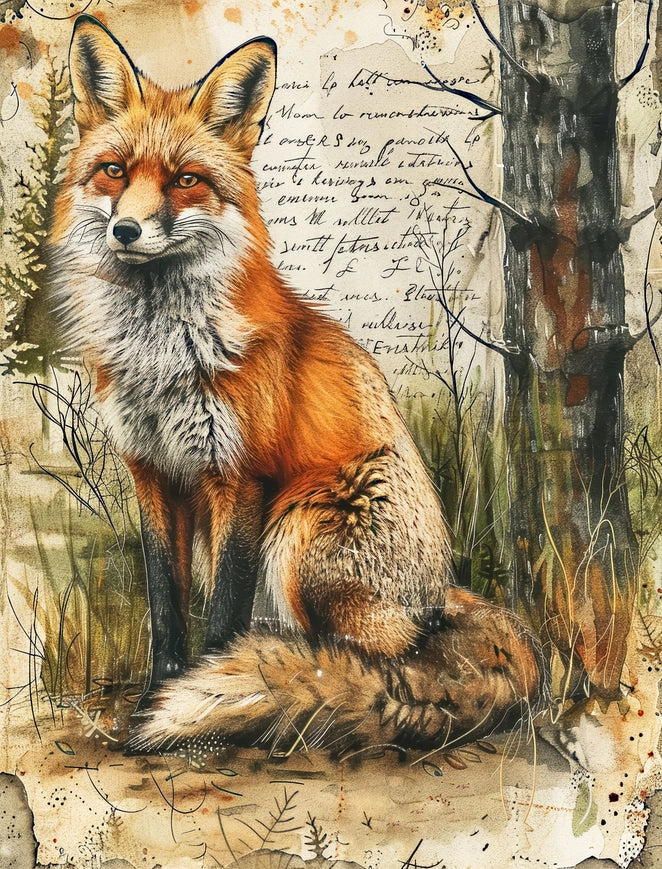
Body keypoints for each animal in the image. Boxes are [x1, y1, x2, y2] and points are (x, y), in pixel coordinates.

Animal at [49, 15, 544, 755]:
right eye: (114, 172)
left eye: (185, 180)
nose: (127, 229)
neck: (162, 355)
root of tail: (444, 590)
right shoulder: (153, 472)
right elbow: (166, 603)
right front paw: (160, 688)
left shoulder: (240, 476)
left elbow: (222, 614)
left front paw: (205, 694)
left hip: (300, 529)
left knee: (381, 655)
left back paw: (318, 686)